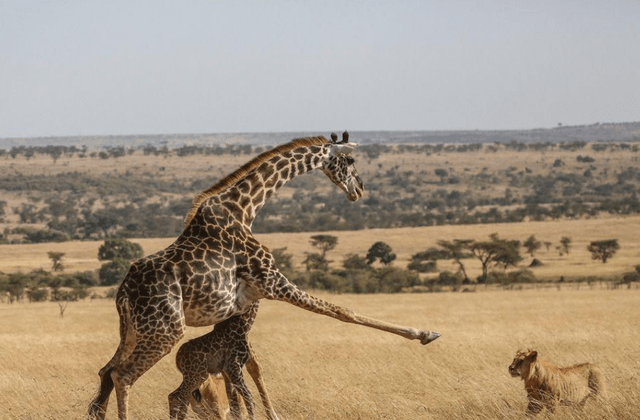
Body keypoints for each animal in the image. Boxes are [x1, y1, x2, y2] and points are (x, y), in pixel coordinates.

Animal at [87, 132, 440, 420]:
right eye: (350, 160)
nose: (359, 190)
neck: (245, 208)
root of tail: (123, 293)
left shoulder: (244, 305)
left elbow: (252, 367)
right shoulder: (271, 281)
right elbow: (341, 310)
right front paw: (424, 333)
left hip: (134, 331)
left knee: (106, 372)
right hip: (166, 331)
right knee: (123, 376)